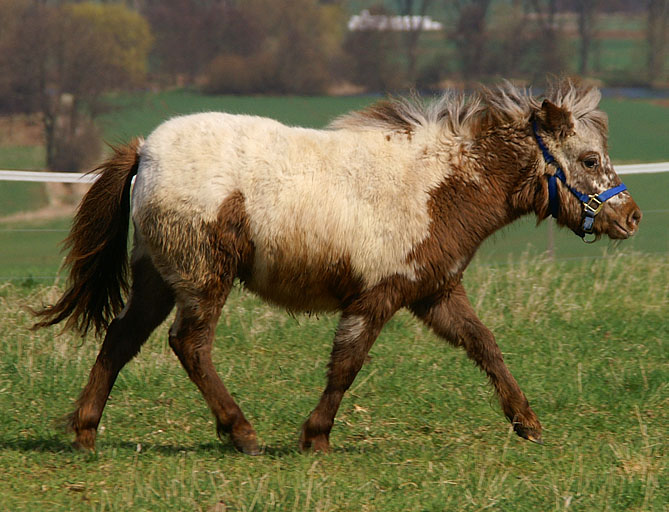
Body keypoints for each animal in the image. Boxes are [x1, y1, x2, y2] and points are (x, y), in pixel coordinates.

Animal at [34, 78, 640, 454]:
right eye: (590, 160)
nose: (631, 216)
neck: (436, 188)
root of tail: (146, 150)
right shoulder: (376, 298)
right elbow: (346, 366)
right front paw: (316, 437)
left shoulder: (436, 293)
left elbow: (485, 346)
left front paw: (527, 423)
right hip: (205, 279)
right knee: (190, 345)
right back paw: (242, 432)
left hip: (159, 279)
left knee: (121, 338)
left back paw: (86, 433)